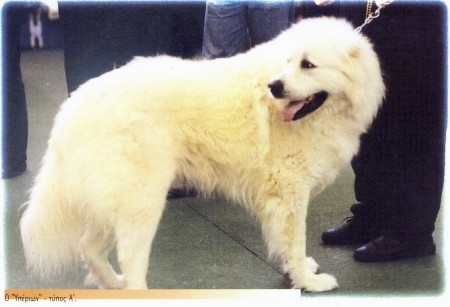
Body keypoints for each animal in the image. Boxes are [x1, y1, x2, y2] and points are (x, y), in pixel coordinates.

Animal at [21, 18, 384, 292]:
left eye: (308, 65)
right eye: (287, 63)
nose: (275, 87)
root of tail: (78, 101)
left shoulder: (283, 198)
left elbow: (283, 241)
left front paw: (295, 272)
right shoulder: (291, 192)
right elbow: (295, 242)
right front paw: (308, 281)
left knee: (89, 249)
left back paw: (113, 284)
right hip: (141, 202)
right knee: (128, 260)